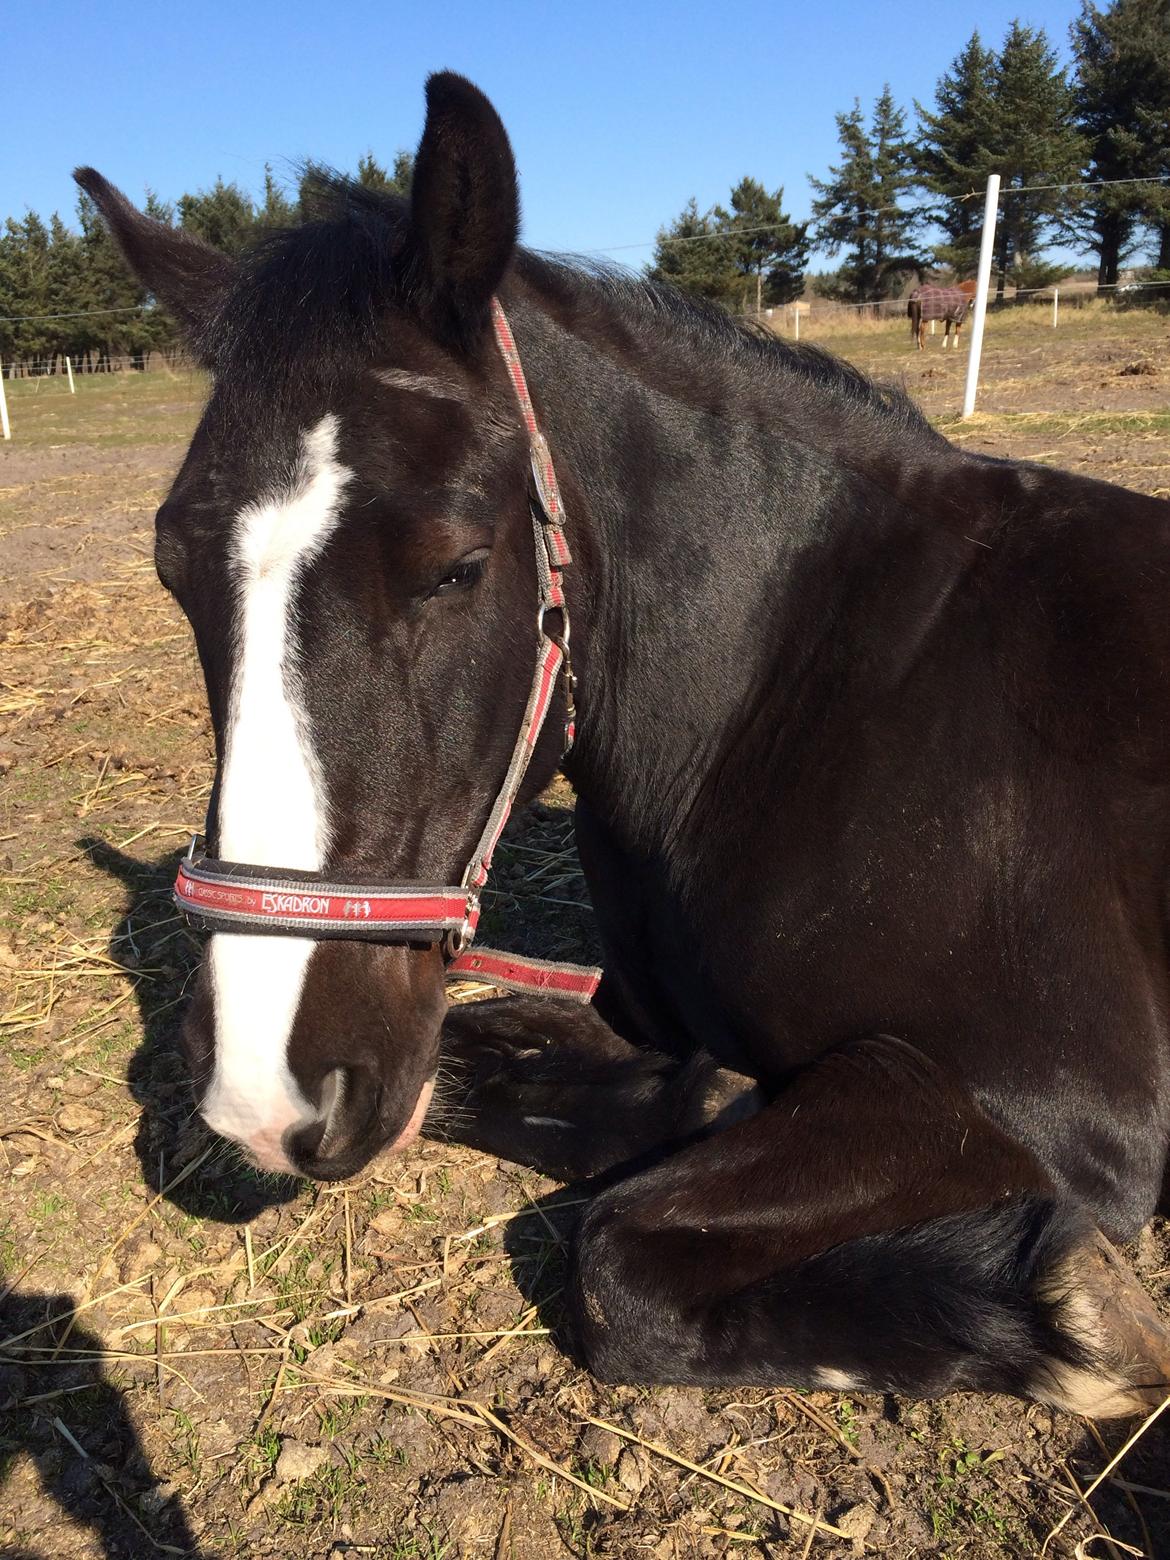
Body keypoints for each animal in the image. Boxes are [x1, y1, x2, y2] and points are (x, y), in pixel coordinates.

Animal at [75, 70, 1170, 1416]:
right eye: (174, 571)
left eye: (455, 567)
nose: (257, 1095)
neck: (820, 687)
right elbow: (511, 1071)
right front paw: (697, 1096)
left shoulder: (1059, 1105)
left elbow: (616, 1260)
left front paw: (1068, 1319)